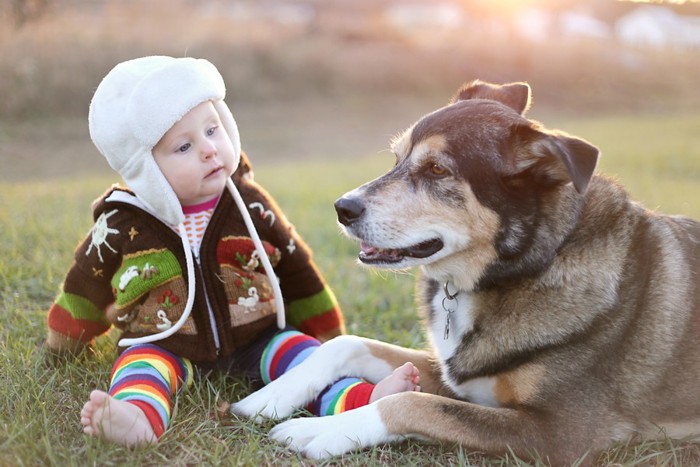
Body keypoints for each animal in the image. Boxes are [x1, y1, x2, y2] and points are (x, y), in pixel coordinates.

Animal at [234, 79, 700, 464]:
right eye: (396, 158)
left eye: (437, 169)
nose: (342, 208)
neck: (532, 262)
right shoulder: (454, 373)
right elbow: (346, 344)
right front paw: (268, 399)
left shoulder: (563, 434)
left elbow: (410, 404)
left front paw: (318, 431)